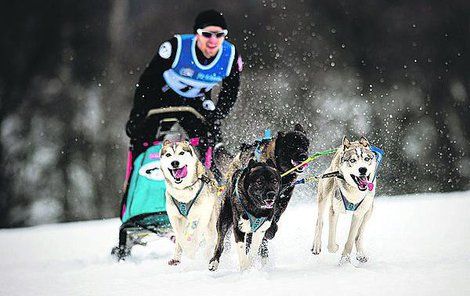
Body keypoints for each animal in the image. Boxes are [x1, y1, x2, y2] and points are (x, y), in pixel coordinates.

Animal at [312, 136, 378, 264]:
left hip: (369, 210)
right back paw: (316, 245)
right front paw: (336, 249)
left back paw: (361, 254)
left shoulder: (358, 214)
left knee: (359, 235)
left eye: (367, 159)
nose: (363, 169)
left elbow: (351, 239)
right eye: (352, 160)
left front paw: (345, 259)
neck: (354, 192)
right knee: (319, 222)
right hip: (324, 193)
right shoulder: (334, 210)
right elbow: (331, 243)